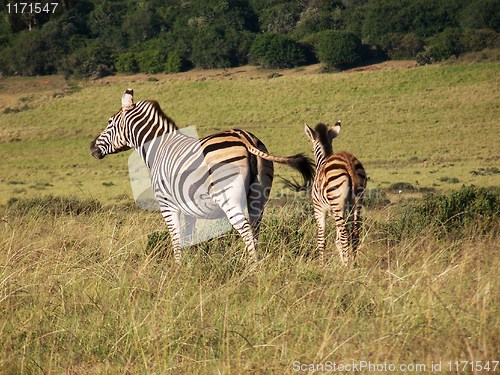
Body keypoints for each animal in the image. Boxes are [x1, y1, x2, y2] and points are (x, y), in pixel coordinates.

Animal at [88, 90, 310, 268]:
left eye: (109, 122)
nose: (91, 148)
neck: (158, 148)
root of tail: (244, 137)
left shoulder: (167, 204)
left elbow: (176, 237)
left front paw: (177, 269)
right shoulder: (187, 207)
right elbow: (188, 236)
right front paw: (189, 265)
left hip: (228, 196)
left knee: (245, 229)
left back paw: (252, 267)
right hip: (259, 196)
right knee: (255, 228)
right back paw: (255, 262)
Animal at [302, 122, 366, 268]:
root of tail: (348, 161)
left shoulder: (319, 210)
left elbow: (321, 240)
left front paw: (321, 266)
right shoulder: (342, 211)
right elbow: (336, 240)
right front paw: (342, 261)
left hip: (337, 204)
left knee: (345, 234)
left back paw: (347, 267)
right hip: (356, 202)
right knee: (355, 233)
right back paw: (353, 265)